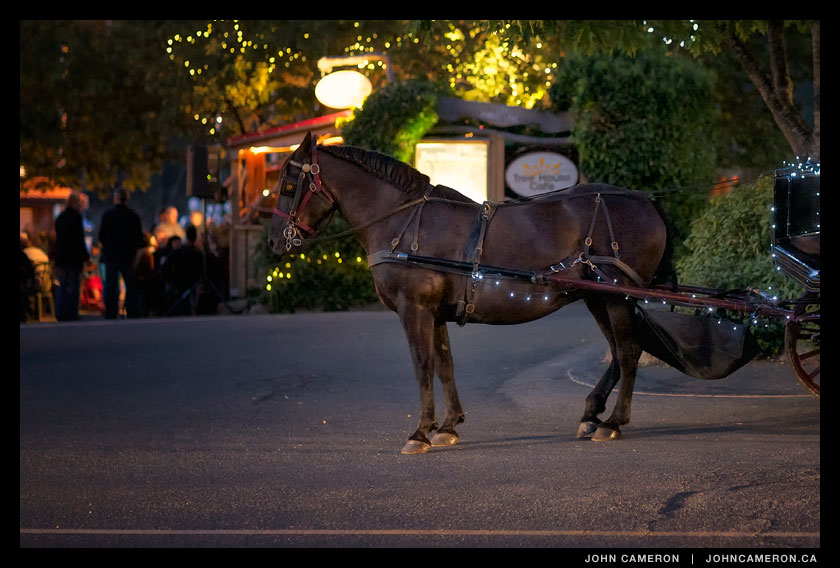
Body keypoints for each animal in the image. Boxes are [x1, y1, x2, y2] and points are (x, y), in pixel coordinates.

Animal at [268, 132, 674, 454]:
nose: (273, 240)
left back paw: (613, 421)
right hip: (596, 298)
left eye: (288, 185)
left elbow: (423, 365)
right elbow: (444, 365)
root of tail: (644, 200)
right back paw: (591, 414)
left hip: (616, 297)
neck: (401, 221)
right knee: (618, 353)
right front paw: (448, 426)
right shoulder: (435, 313)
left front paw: (420, 432)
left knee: (628, 352)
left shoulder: (414, 309)